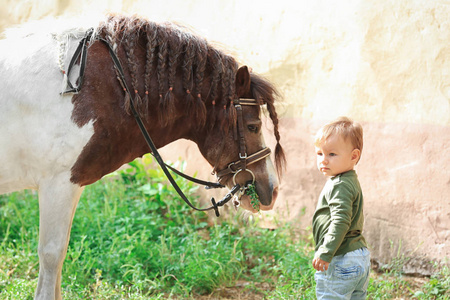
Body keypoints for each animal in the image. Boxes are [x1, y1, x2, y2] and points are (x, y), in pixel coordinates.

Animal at [0, 14, 284, 300]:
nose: (272, 189)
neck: (105, 86)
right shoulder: (57, 184)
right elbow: (51, 254)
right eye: (253, 127)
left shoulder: (70, 186)